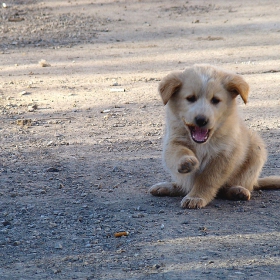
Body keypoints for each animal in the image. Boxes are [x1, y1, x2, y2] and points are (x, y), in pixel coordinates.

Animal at [150, 64, 280, 208]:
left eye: (215, 100)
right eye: (190, 98)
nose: (201, 120)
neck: (204, 142)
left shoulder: (224, 155)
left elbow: (207, 180)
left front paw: (196, 196)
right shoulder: (173, 141)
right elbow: (178, 152)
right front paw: (186, 162)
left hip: (256, 150)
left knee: (234, 186)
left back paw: (237, 191)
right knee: (184, 186)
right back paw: (167, 187)